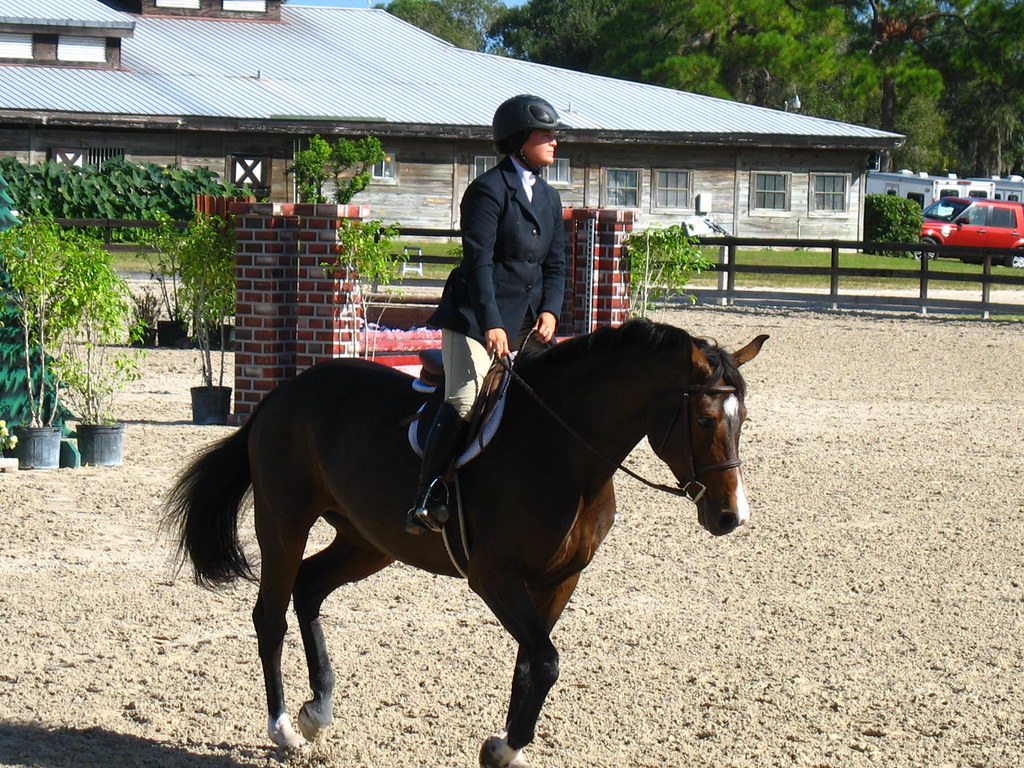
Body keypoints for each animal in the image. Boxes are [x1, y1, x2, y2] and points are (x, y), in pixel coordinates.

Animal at [164, 318, 767, 767]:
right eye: (705, 418)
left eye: (742, 419)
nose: (731, 516)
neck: (565, 451)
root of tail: (282, 394)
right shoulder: (494, 577)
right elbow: (546, 661)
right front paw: (502, 748)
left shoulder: (560, 579)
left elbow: (532, 662)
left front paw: (510, 748)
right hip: (285, 521)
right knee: (270, 614)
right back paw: (285, 729)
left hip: (368, 541)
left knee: (309, 588)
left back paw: (320, 710)